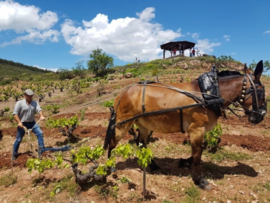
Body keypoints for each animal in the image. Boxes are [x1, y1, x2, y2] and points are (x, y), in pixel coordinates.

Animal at [103, 59, 266, 189]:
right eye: (261, 91)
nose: (262, 115)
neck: (209, 94)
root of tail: (122, 92)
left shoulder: (199, 131)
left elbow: (197, 152)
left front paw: (184, 162)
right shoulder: (197, 129)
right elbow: (197, 154)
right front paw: (199, 180)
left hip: (142, 125)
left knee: (141, 143)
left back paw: (153, 166)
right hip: (122, 124)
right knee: (112, 143)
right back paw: (110, 167)